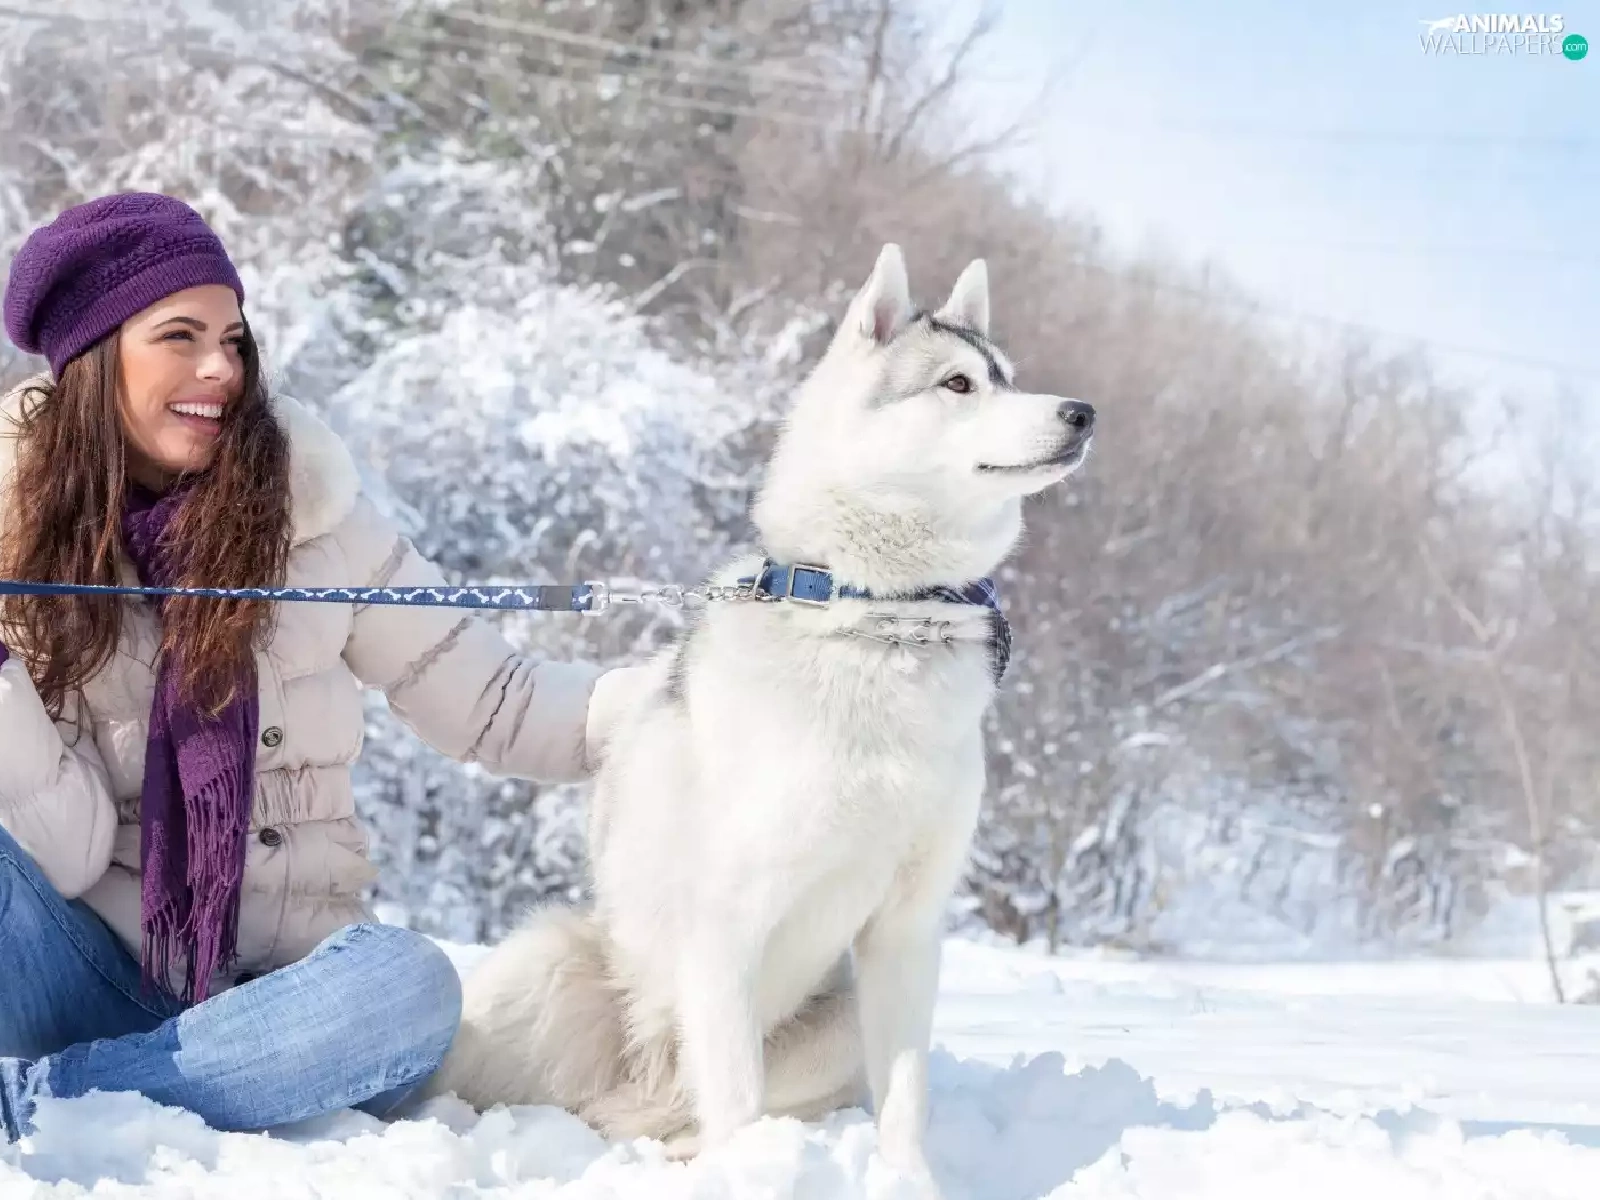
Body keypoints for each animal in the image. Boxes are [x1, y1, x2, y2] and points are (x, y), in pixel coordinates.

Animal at [421, 244, 1094, 1192]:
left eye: (1011, 376)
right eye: (959, 384)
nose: (1082, 412)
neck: (876, 619)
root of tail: (640, 1084)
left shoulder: (907, 931)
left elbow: (905, 1101)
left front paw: (907, 1182)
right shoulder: (727, 924)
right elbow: (735, 1095)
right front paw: (756, 1177)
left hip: (832, 1025)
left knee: (683, 1117)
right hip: (544, 967)